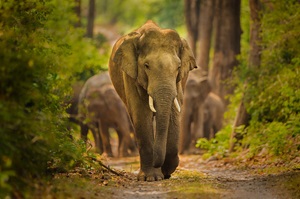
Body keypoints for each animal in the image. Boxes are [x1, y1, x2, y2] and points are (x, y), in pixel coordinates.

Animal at [108, 20, 197, 182]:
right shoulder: (130, 75)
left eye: (178, 67)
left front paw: (167, 171)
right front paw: (151, 178)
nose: (158, 163)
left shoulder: (178, 82)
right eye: (146, 66)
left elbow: (174, 113)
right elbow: (141, 115)